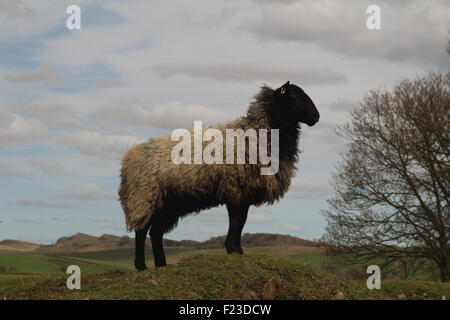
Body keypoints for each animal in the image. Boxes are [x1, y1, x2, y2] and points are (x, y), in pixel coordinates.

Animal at [119, 81, 320, 268]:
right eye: (293, 94)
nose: (316, 116)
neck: (257, 134)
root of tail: (129, 156)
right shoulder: (236, 188)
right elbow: (237, 221)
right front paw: (233, 249)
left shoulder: (243, 192)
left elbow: (241, 222)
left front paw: (237, 249)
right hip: (144, 196)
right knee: (141, 231)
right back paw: (141, 266)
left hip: (170, 203)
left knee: (155, 232)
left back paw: (161, 265)